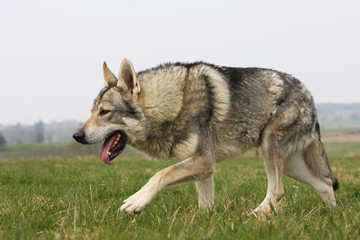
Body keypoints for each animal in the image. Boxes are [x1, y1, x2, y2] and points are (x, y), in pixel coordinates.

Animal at [72, 59, 338, 215]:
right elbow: (205, 205)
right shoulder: (204, 169)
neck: (173, 104)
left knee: (278, 191)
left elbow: (160, 174)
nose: (76, 135)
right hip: (288, 163)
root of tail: (310, 97)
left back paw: (254, 216)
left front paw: (136, 201)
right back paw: (333, 216)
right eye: (92, 111)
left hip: (270, 151)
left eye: (105, 112)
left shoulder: (203, 160)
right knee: (325, 184)